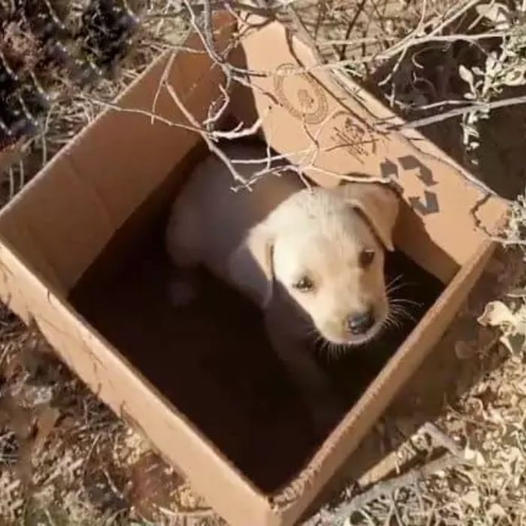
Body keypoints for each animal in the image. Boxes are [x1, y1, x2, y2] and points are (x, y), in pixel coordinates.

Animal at [167, 143, 402, 428]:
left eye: (368, 256)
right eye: (303, 284)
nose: (361, 322)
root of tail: (205, 165)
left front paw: (384, 352)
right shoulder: (283, 339)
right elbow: (312, 380)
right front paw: (327, 413)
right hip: (183, 238)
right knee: (181, 264)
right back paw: (181, 288)